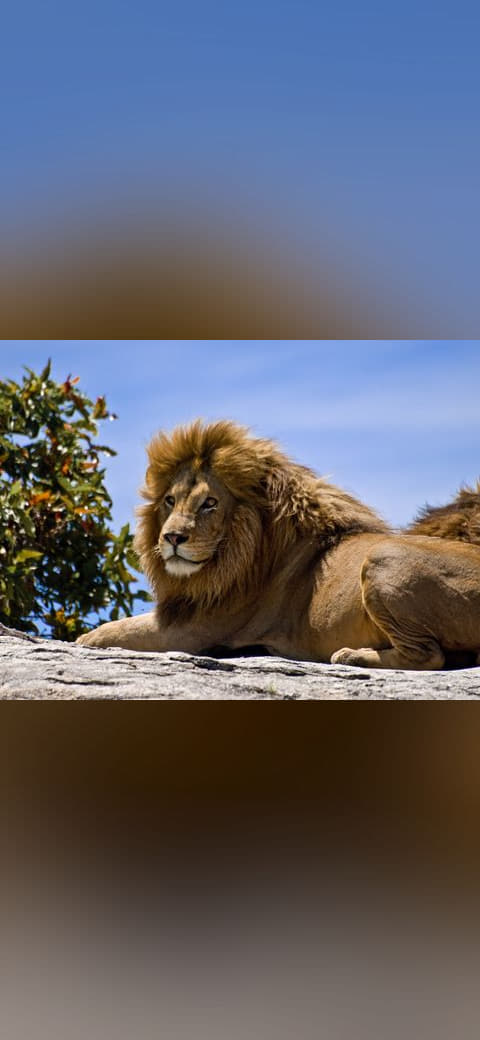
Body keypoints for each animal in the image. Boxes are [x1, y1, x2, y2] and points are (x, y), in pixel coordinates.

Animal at [77, 420, 480, 670]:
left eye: (210, 503)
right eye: (170, 501)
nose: (172, 538)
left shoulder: (194, 629)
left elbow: (110, 632)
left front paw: (82, 639)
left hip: (382, 557)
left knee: (429, 656)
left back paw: (351, 656)